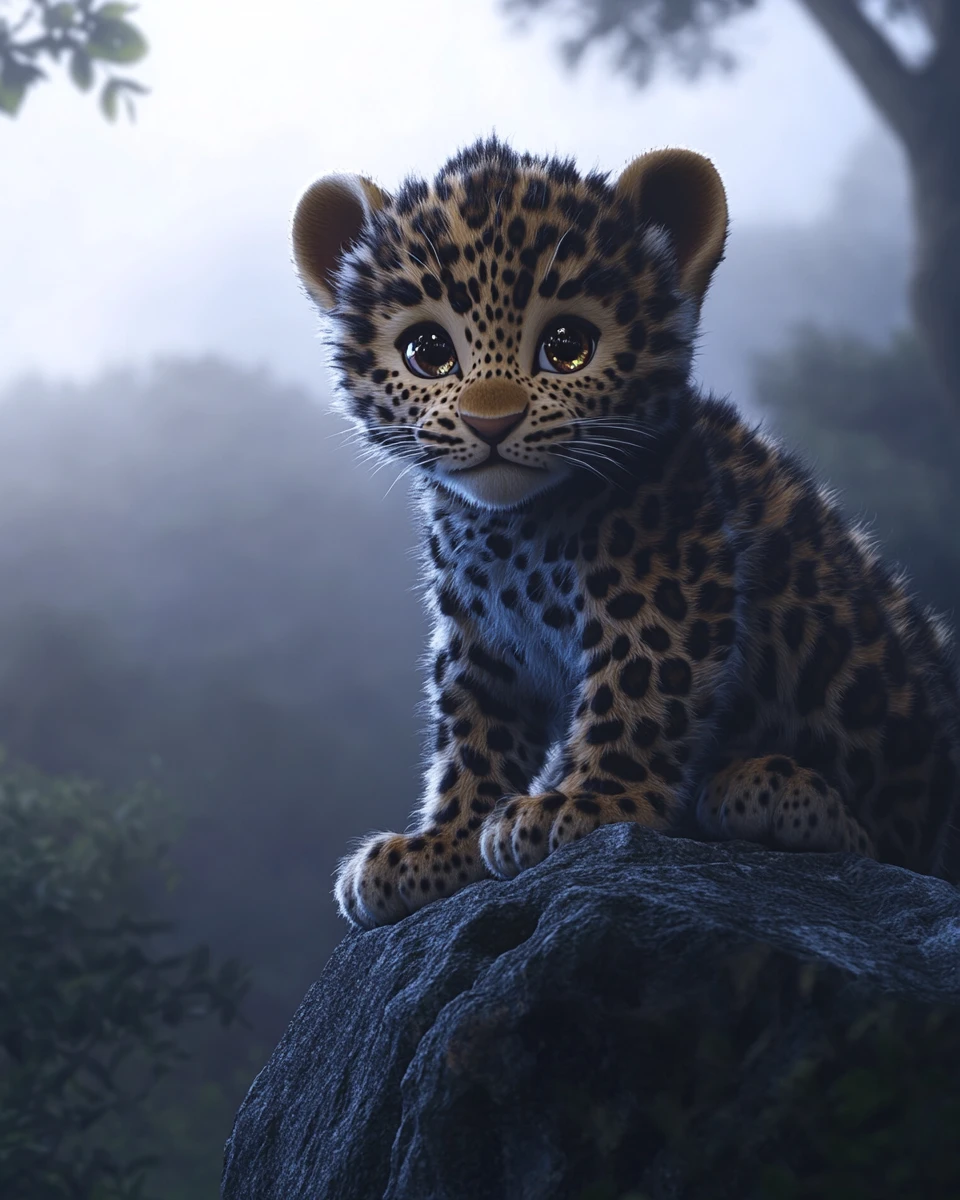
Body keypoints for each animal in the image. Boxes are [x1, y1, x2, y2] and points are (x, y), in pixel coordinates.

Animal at [291, 136, 960, 929]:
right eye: (428, 351)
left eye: (568, 346)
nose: (491, 423)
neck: (511, 531)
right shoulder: (481, 642)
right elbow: (473, 734)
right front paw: (440, 846)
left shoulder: (667, 589)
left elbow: (638, 695)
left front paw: (579, 805)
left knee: (883, 845)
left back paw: (774, 792)